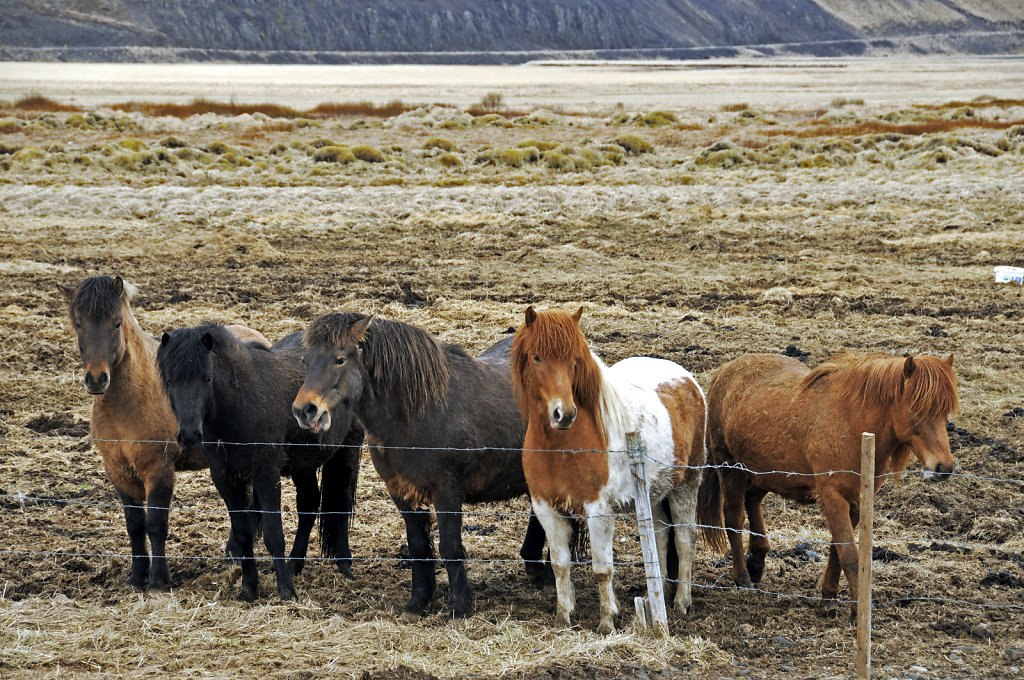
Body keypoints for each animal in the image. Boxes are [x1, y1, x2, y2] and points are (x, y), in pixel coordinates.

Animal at [59, 276, 272, 589]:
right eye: (78, 323)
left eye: (116, 322)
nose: (97, 379)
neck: (130, 400)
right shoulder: (119, 471)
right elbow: (135, 526)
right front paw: (137, 576)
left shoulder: (158, 469)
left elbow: (156, 525)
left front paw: (159, 580)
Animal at [155, 323, 364, 602]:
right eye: (170, 380)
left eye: (207, 379)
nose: (188, 435)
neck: (243, 402)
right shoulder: (226, 480)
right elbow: (244, 535)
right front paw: (249, 588)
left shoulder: (265, 476)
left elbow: (274, 534)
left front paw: (286, 590)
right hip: (303, 466)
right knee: (309, 505)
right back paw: (295, 564)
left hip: (346, 452)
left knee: (340, 502)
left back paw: (344, 565)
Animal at [290, 311, 561, 622]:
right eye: (305, 361)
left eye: (340, 359)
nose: (304, 410)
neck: (419, 412)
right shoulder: (402, 492)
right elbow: (419, 547)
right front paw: (417, 603)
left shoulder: (447, 491)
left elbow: (450, 547)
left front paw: (460, 607)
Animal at [509, 305, 704, 634]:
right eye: (536, 357)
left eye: (574, 359)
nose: (564, 414)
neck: (562, 446)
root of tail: (688, 379)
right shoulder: (546, 508)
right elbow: (560, 565)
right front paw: (563, 616)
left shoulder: (598, 509)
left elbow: (602, 569)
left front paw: (606, 622)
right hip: (653, 494)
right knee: (660, 538)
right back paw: (659, 595)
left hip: (685, 486)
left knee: (684, 540)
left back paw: (681, 602)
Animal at [700, 352, 954, 606]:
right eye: (916, 410)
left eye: (945, 412)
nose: (944, 467)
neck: (852, 424)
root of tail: (725, 371)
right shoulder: (833, 495)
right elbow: (849, 555)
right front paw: (854, 609)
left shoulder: (856, 499)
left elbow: (837, 549)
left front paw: (829, 595)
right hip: (731, 468)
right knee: (734, 518)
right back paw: (742, 577)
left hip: (765, 472)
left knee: (752, 500)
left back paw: (757, 562)